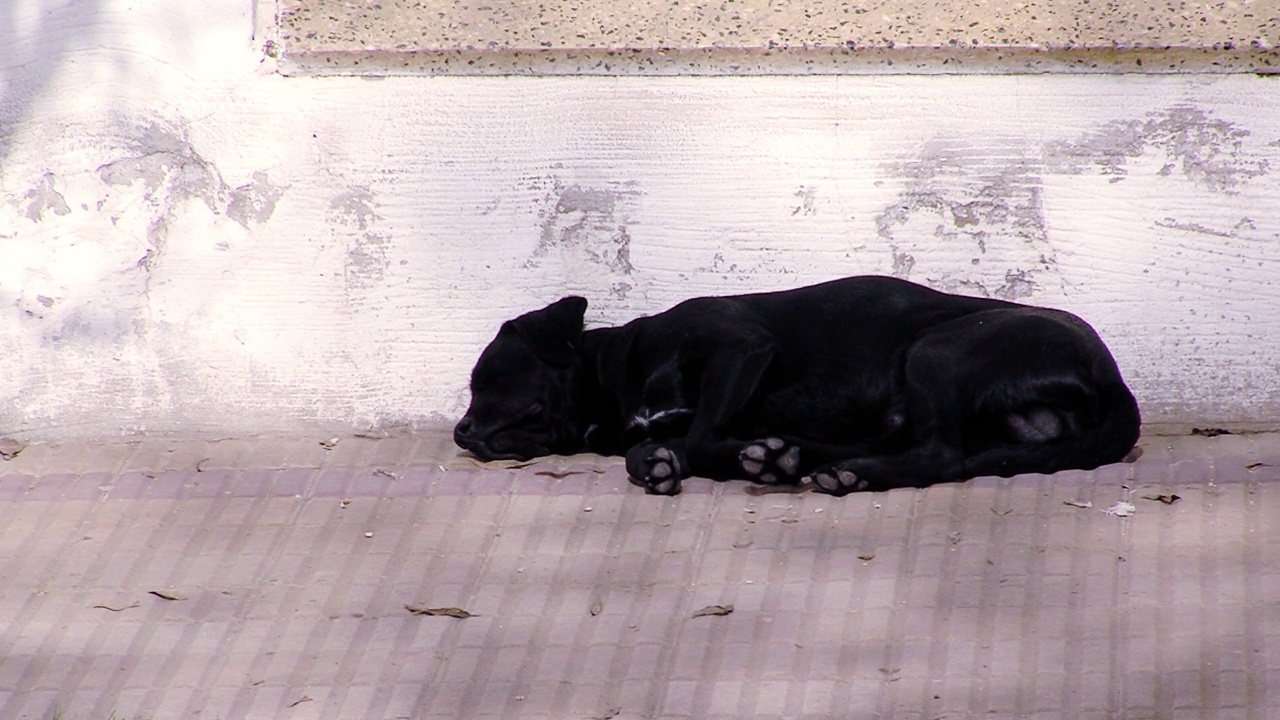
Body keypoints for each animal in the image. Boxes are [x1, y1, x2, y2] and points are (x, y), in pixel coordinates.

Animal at [453, 274, 1141, 491]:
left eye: (483, 377)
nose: (460, 434)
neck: (618, 372)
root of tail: (1115, 380)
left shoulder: (739, 347)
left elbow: (700, 437)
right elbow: (660, 446)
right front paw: (657, 461)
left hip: (939, 351)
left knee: (941, 455)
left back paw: (839, 472)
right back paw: (798, 458)